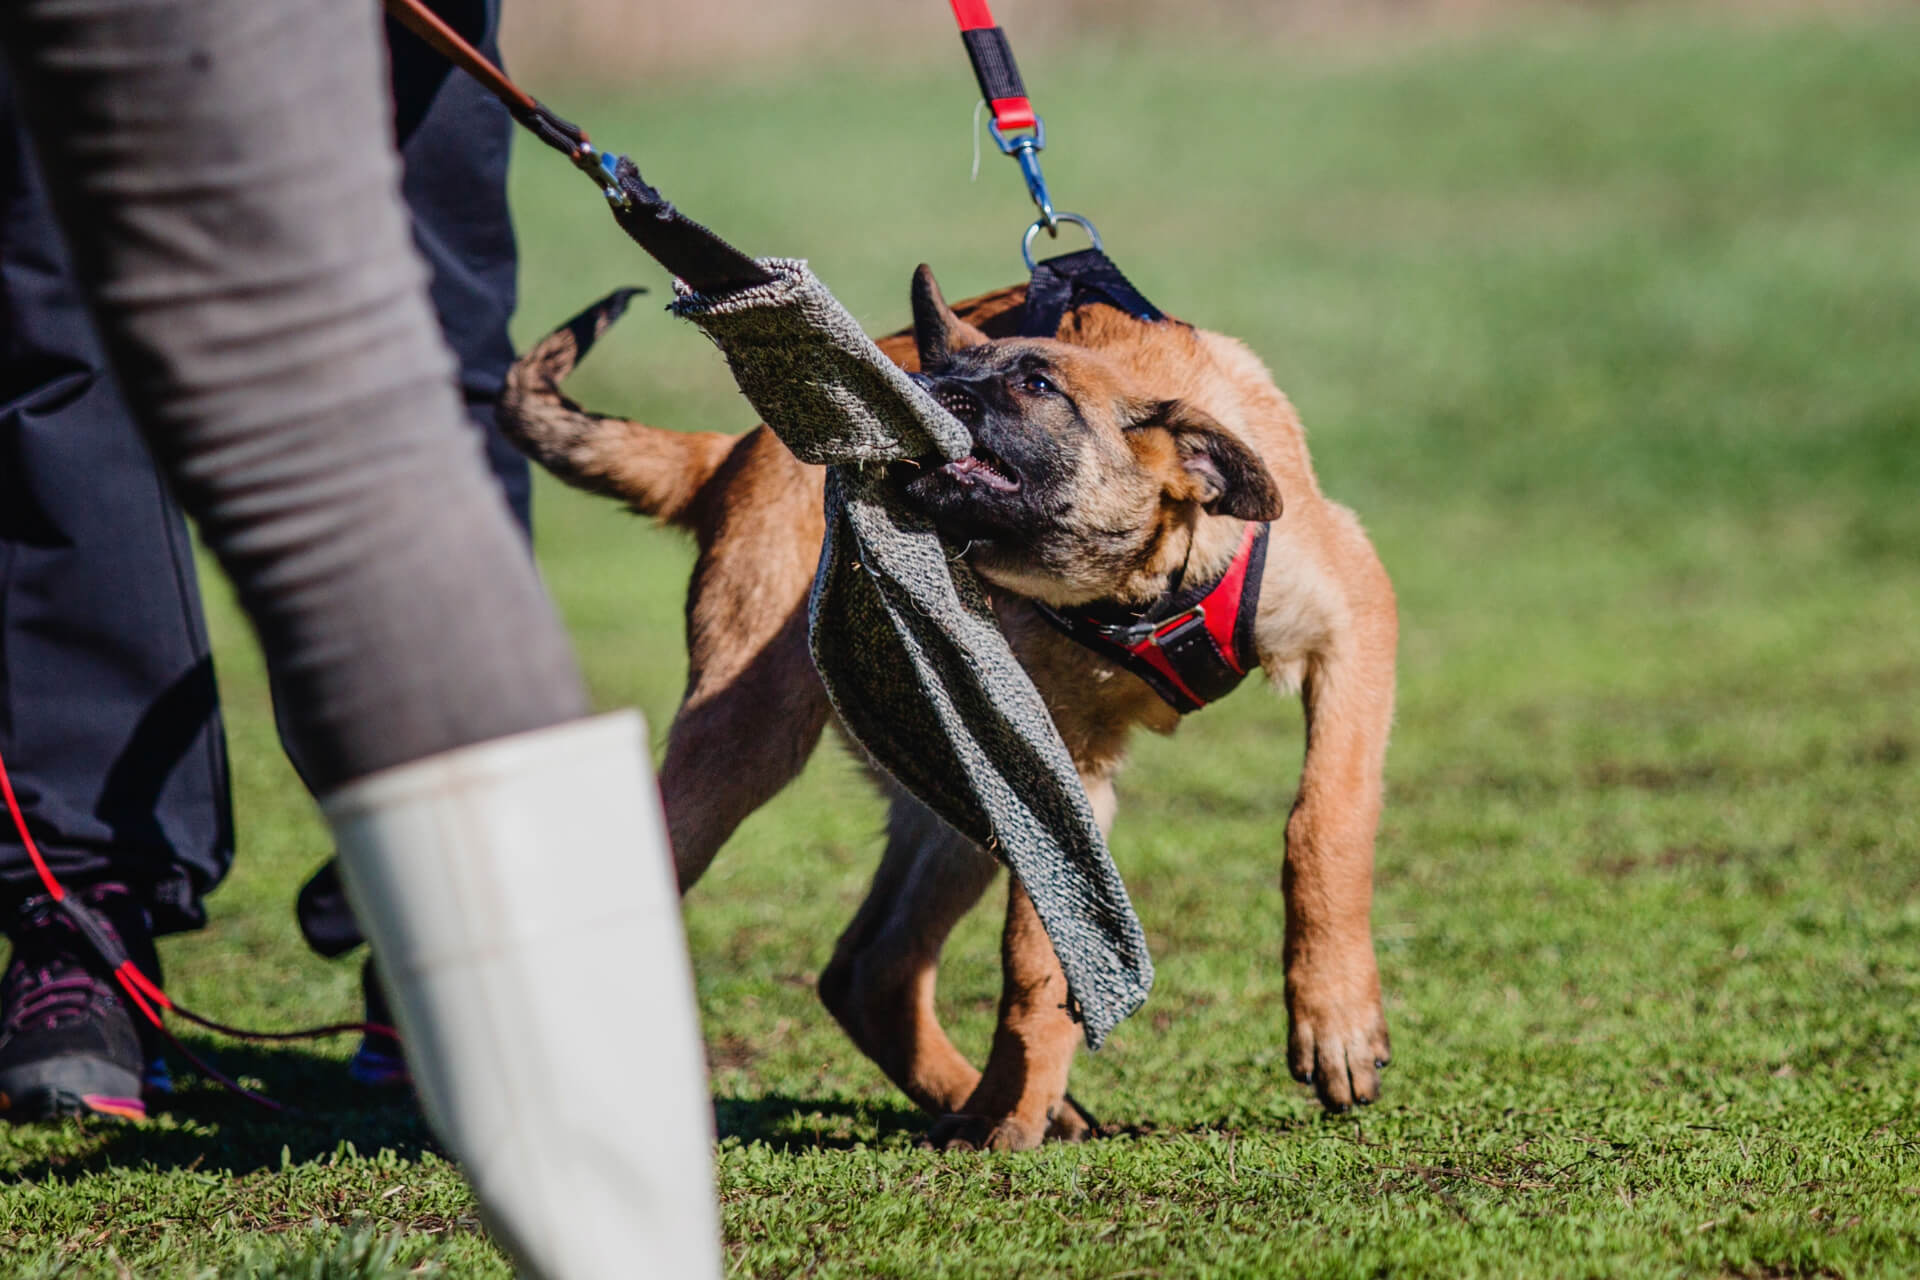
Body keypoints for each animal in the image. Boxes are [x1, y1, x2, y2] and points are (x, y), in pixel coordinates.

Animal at [495, 270, 1397, 1151]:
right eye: (946, 370)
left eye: (1036, 385)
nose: (918, 387)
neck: (1133, 590)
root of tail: (731, 455)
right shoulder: (1053, 769)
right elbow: (1039, 952)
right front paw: (1016, 1107)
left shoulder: (1351, 628)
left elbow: (1323, 820)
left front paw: (1334, 1021)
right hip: (746, 742)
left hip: (950, 781)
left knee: (870, 968)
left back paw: (976, 1099)